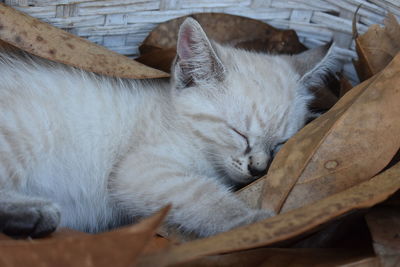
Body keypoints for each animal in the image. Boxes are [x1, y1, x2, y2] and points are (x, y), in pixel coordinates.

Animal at [0, 17, 340, 238]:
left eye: (280, 143)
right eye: (239, 134)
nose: (259, 170)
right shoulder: (140, 169)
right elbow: (204, 196)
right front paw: (253, 222)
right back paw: (36, 213)